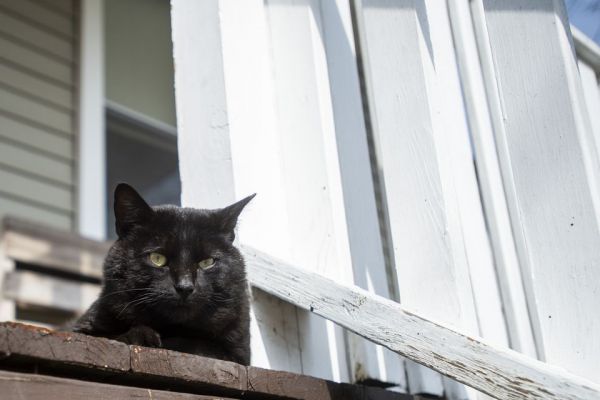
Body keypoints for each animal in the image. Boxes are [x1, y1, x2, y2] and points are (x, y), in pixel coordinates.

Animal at [69, 184, 253, 366]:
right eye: (157, 258)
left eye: (207, 262)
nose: (185, 286)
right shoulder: (82, 329)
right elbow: (113, 337)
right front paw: (142, 337)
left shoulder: (237, 353)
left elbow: (201, 347)